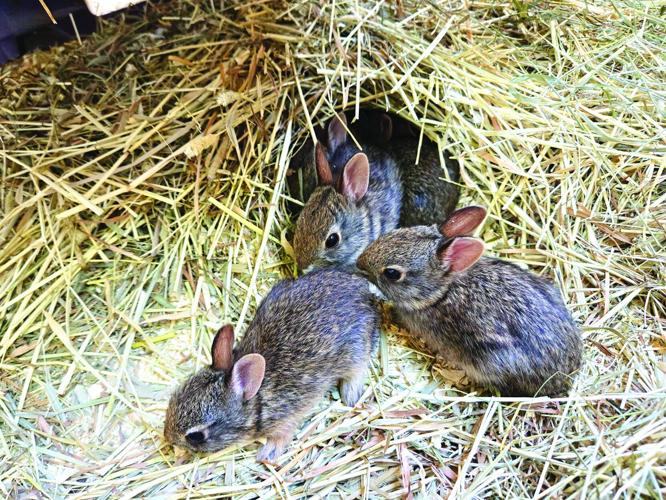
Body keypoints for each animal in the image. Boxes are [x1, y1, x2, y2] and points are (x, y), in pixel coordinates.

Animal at [163, 269, 380, 463]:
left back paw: (351, 396)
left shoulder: (286, 419)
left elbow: (282, 437)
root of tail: (362, 290)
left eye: (196, 435)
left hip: (355, 351)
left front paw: (266, 455)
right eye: (173, 398)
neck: (255, 402)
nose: (167, 437)